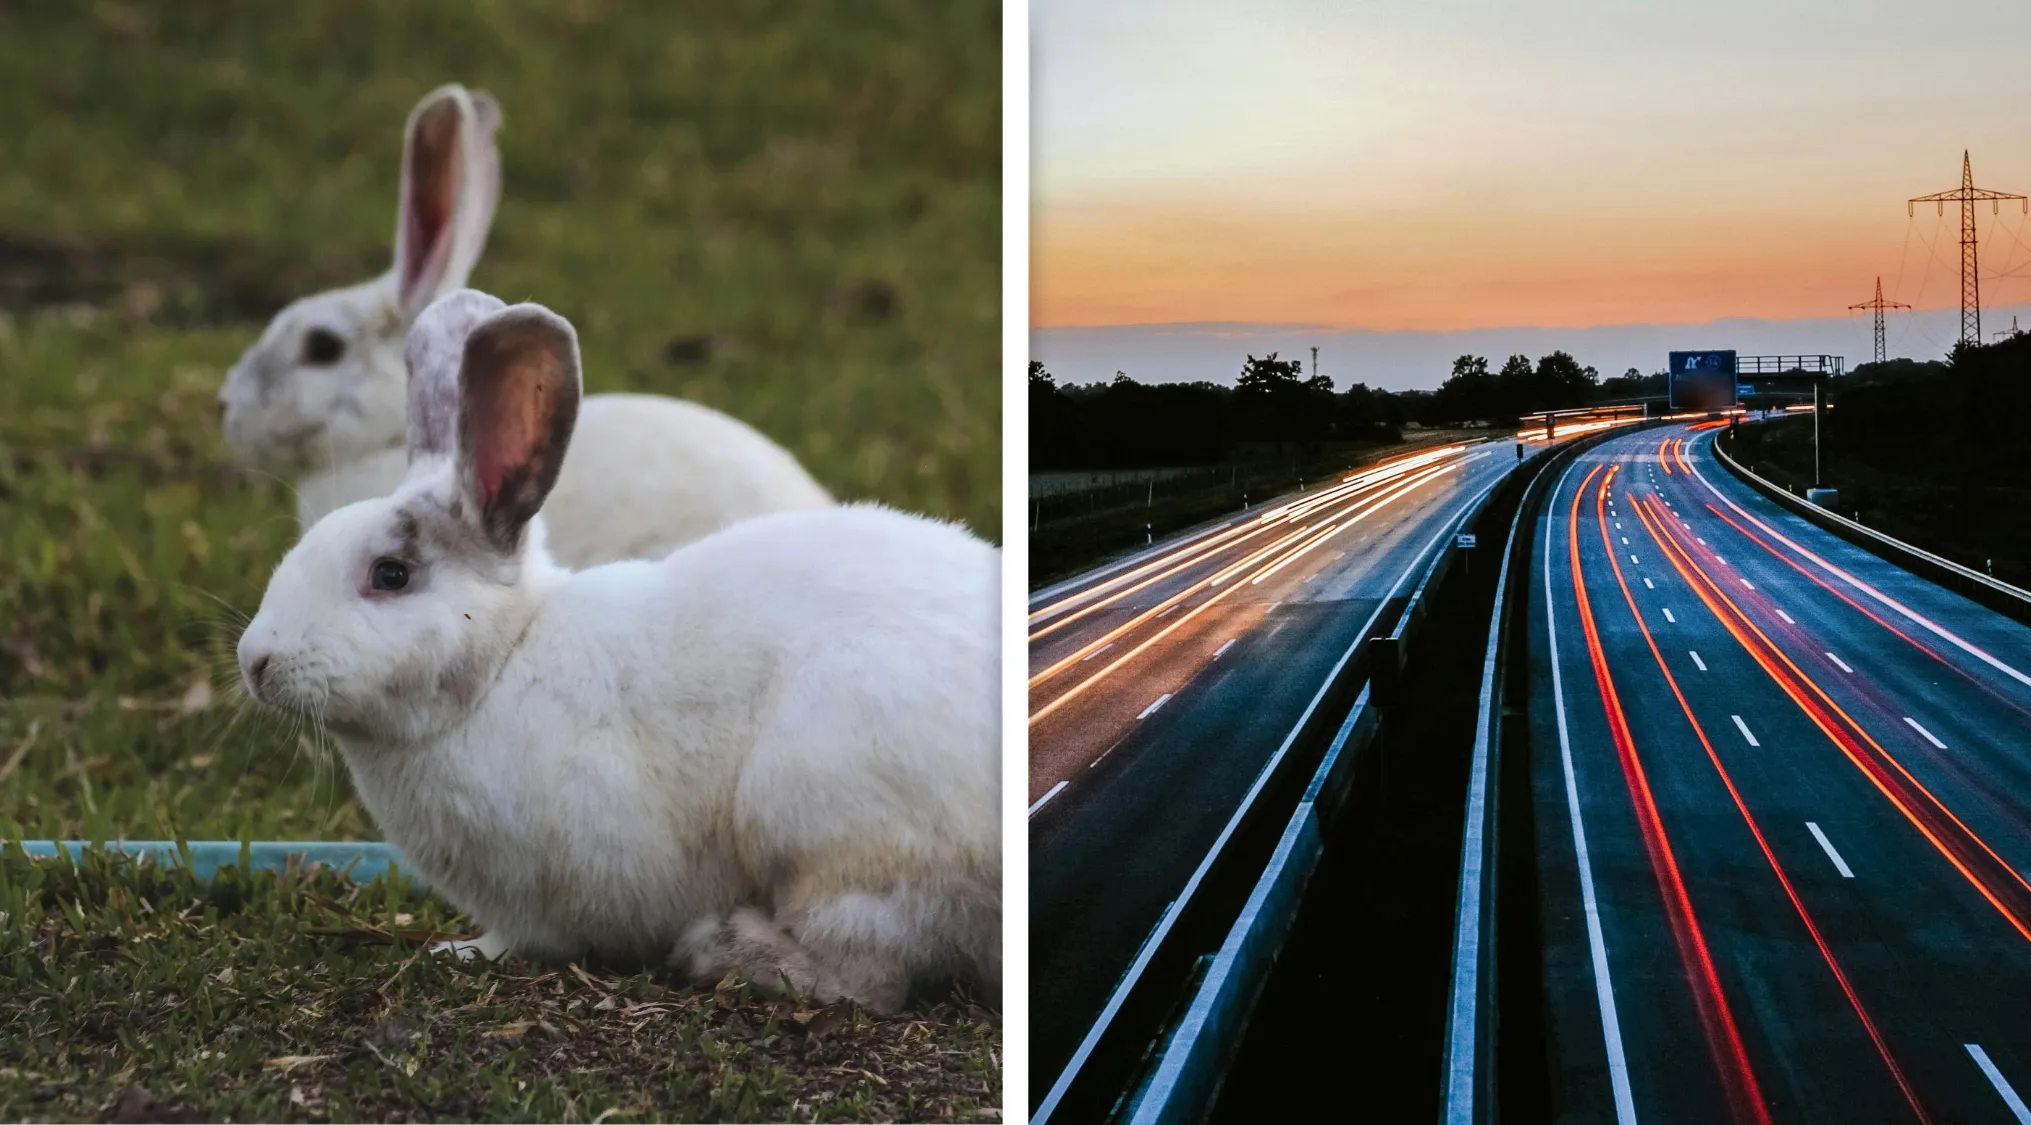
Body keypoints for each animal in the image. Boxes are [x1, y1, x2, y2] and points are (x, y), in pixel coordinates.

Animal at [234, 292, 1001, 1014]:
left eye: (390, 574)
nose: (255, 662)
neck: (504, 661)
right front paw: (461, 948)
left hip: (829, 822)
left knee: (867, 974)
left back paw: (722, 949)